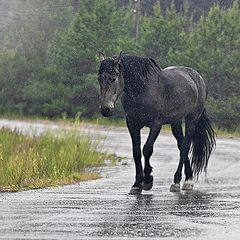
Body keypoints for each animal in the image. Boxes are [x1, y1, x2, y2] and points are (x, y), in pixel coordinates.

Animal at [97, 51, 216, 194]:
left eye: (113, 79)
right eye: (99, 79)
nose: (105, 109)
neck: (143, 89)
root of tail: (197, 77)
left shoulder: (156, 125)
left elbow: (147, 149)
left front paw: (148, 180)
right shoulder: (132, 125)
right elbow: (136, 152)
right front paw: (136, 185)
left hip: (192, 119)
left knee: (185, 147)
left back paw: (179, 182)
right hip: (175, 123)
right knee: (181, 145)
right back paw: (187, 178)